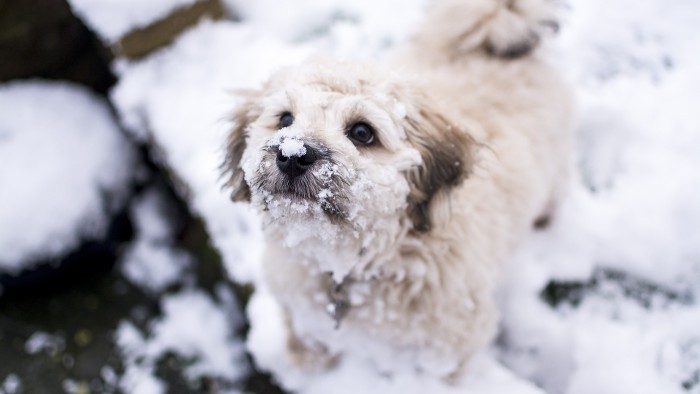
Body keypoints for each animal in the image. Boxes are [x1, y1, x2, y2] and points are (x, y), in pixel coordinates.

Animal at [224, 0, 576, 382]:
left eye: (362, 132)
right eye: (285, 119)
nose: (292, 155)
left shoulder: (454, 343)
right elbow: (305, 334)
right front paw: (307, 365)